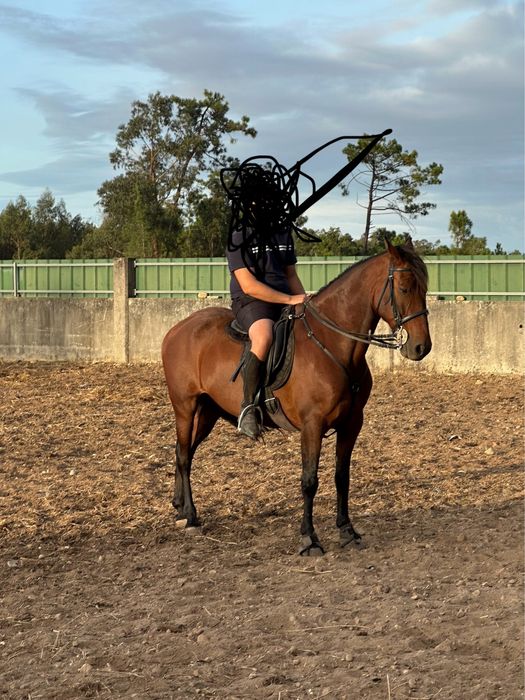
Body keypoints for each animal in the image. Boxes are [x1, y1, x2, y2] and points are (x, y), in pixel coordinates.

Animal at [161, 239, 432, 555]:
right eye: (404, 288)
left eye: (424, 288)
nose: (421, 347)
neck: (333, 344)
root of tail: (177, 329)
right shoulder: (312, 425)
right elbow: (309, 480)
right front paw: (309, 539)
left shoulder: (352, 424)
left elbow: (342, 477)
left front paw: (347, 530)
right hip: (185, 407)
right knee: (183, 455)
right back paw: (190, 516)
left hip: (208, 412)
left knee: (184, 452)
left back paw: (179, 507)